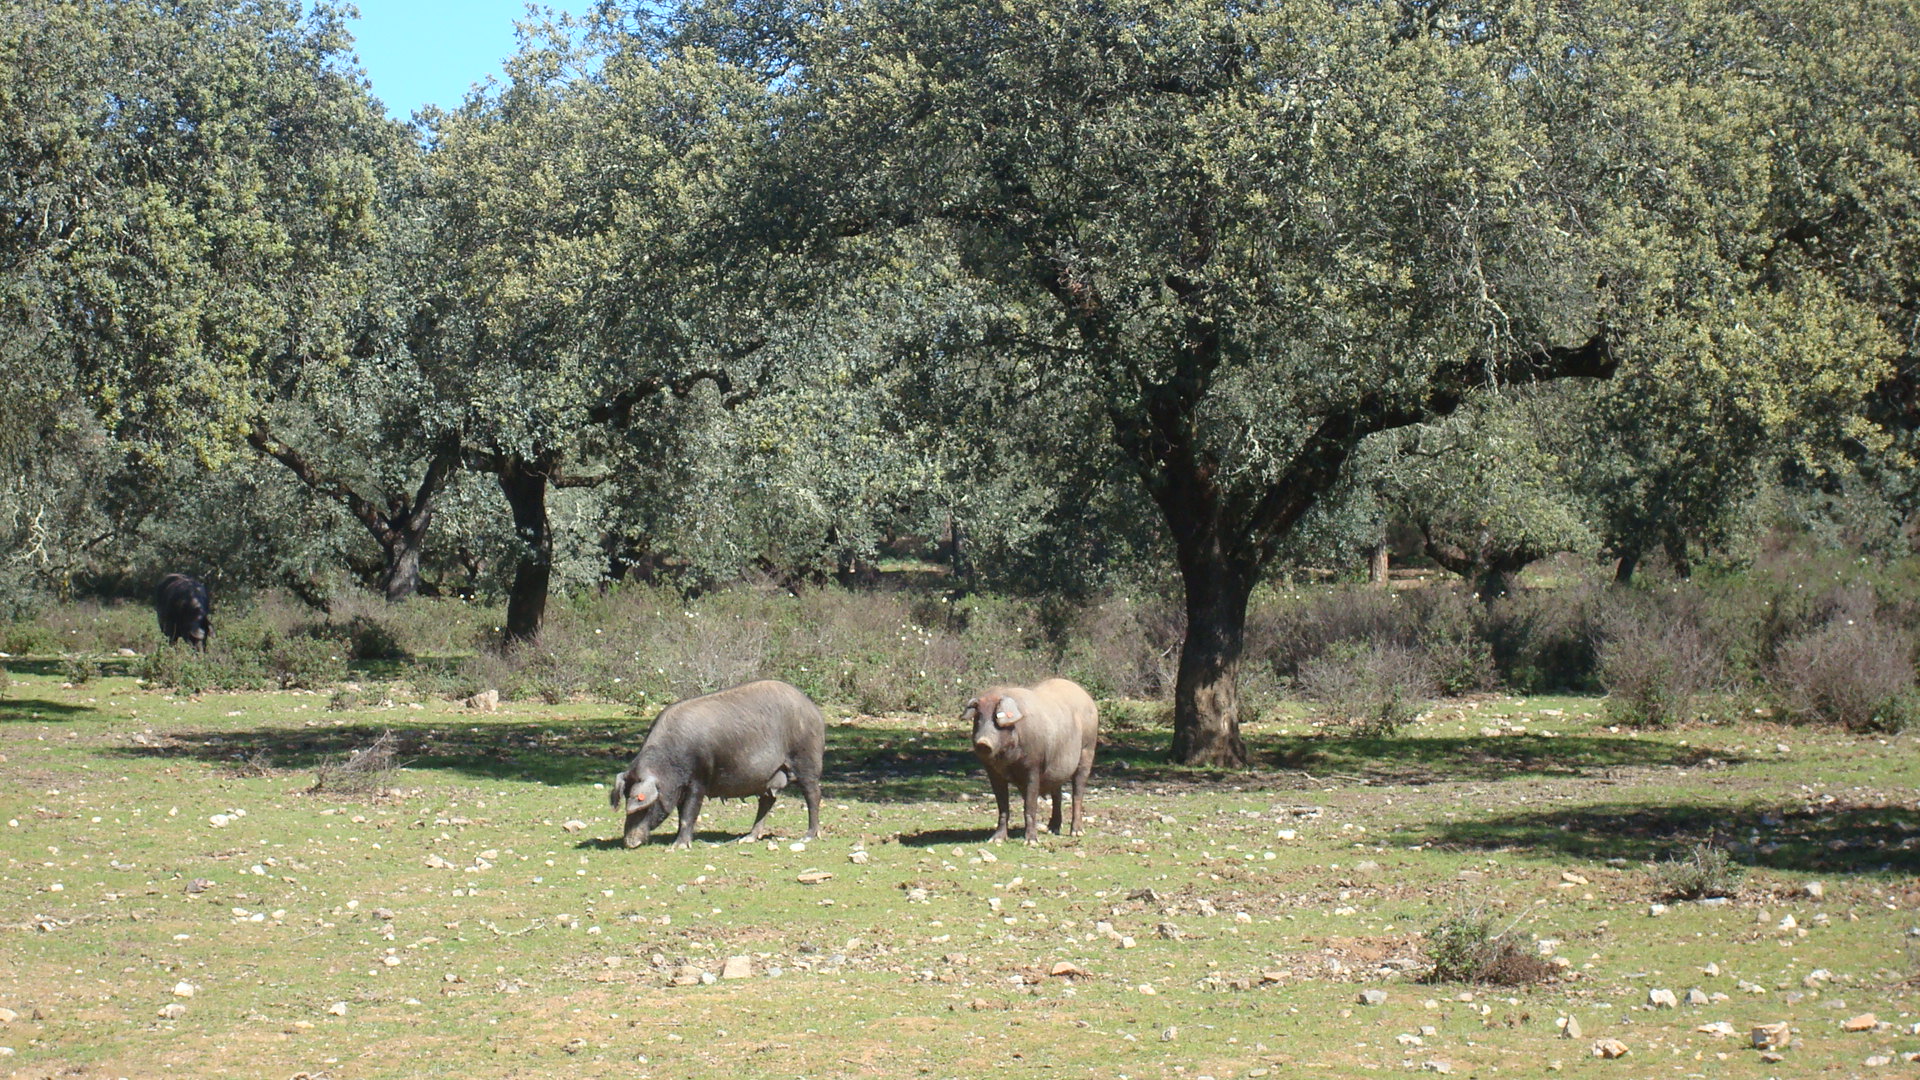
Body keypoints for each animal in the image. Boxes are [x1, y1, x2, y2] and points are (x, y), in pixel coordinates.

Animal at [606, 676, 825, 845]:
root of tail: (813, 710)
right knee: (767, 800)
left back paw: (807, 837)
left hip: (806, 758)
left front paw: (679, 846)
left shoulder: (700, 777)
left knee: (813, 794)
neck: (668, 765)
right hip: (769, 775)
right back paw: (747, 838)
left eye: (644, 805)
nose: (629, 842)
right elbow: (682, 814)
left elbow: (689, 813)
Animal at [960, 672, 1098, 841]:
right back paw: (1052, 829)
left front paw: (1031, 841)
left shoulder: (1033, 766)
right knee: (1057, 794)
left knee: (1077, 793)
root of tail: (1086, 696)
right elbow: (1003, 806)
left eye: (997, 719)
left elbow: (1030, 805)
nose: (983, 742)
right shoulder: (993, 772)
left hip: (1088, 749)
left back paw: (1076, 832)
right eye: (978, 718)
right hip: (1056, 767)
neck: (1008, 761)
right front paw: (996, 839)